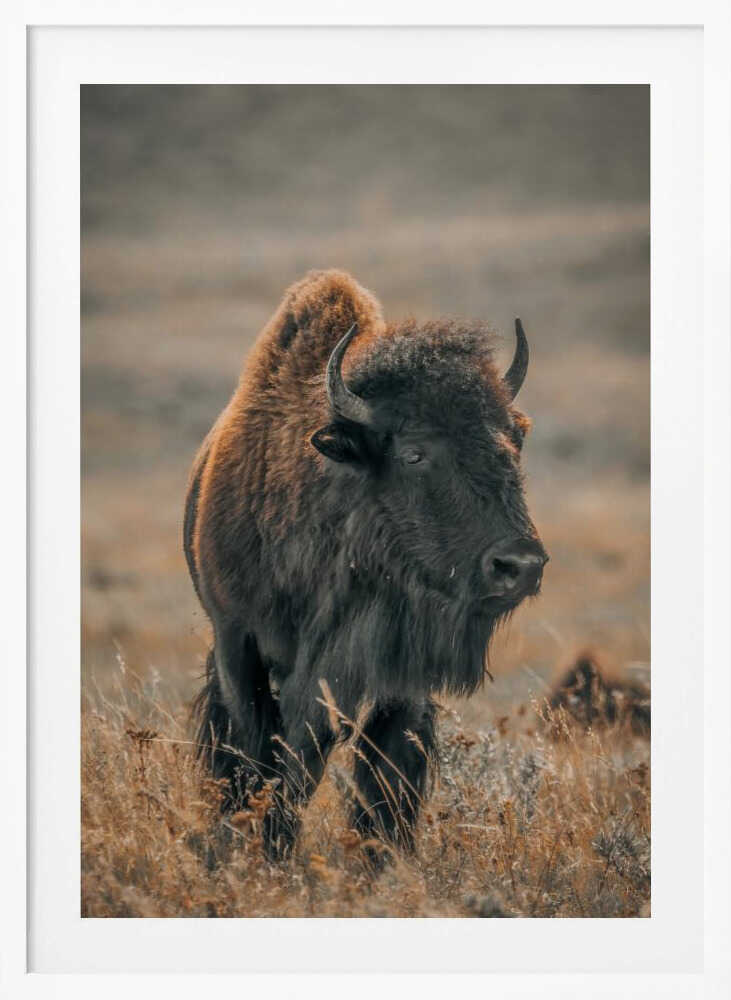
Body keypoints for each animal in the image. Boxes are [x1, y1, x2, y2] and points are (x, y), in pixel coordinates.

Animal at [184, 269, 547, 859]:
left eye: (513, 442)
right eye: (414, 453)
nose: (520, 565)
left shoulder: (397, 677)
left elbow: (384, 777)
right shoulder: (239, 643)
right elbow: (263, 755)